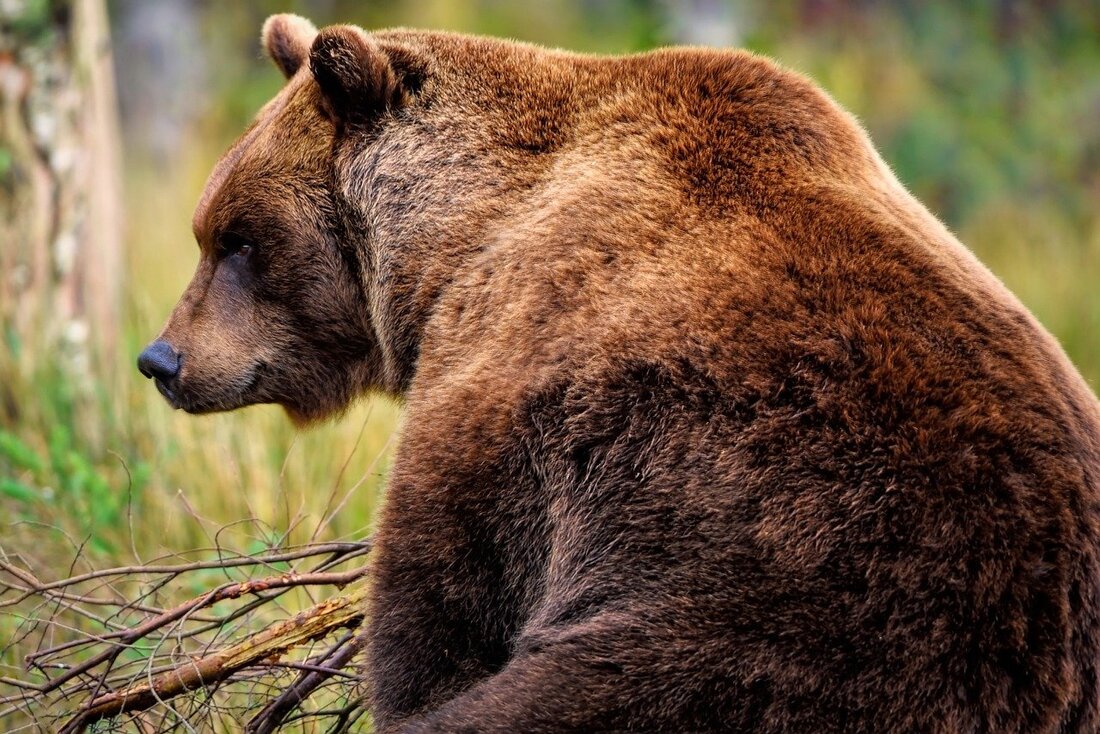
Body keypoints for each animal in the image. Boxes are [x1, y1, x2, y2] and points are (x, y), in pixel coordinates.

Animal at [137, 13, 1100, 733]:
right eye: (207, 229)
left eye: (238, 239)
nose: (160, 358)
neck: (454, 245)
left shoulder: (517, 392)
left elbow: (442, 605)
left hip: (807, 610)